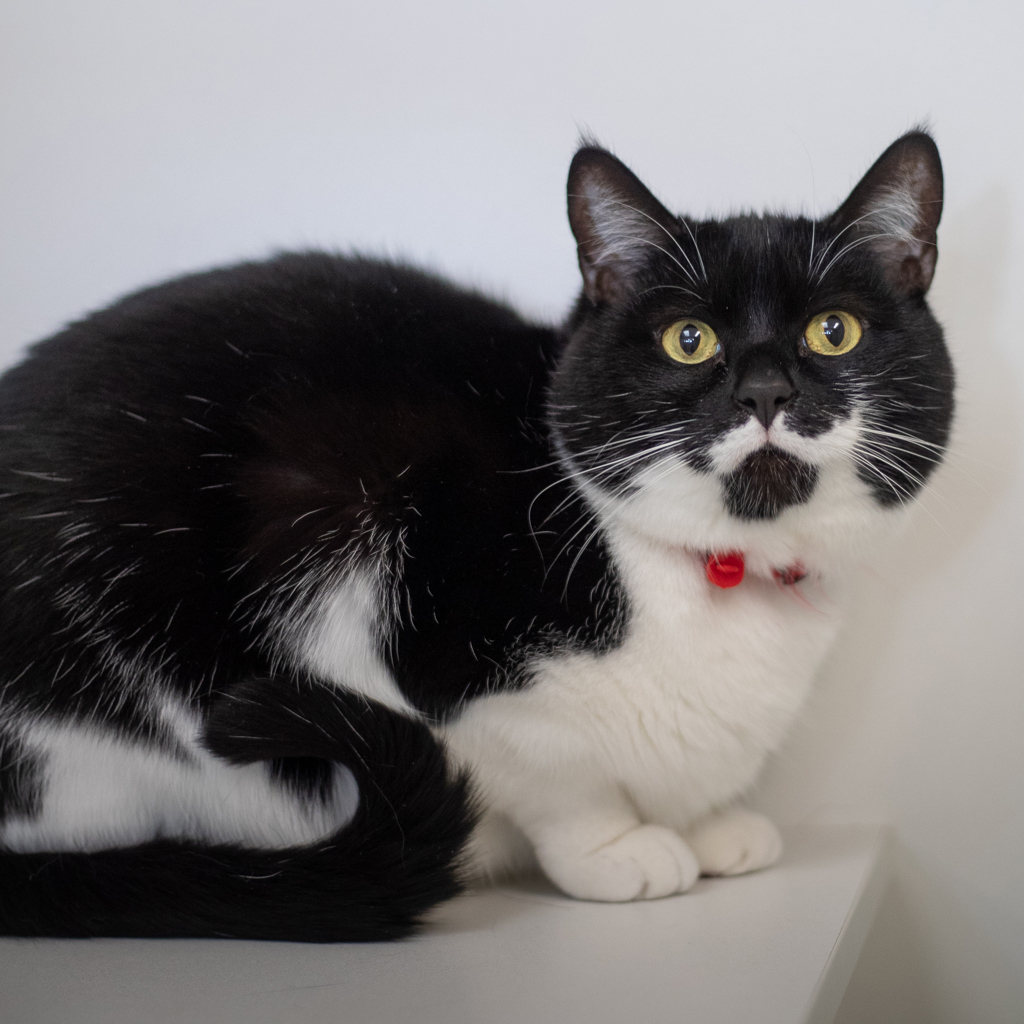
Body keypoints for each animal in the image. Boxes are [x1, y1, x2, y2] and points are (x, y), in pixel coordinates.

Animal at [0, 130, 953, 941]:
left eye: (834, 330)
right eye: (689, 339)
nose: (765, 391)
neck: (715, 573)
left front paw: (712, 826)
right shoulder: (416, 630)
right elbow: (556, 776)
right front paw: (620, 848)